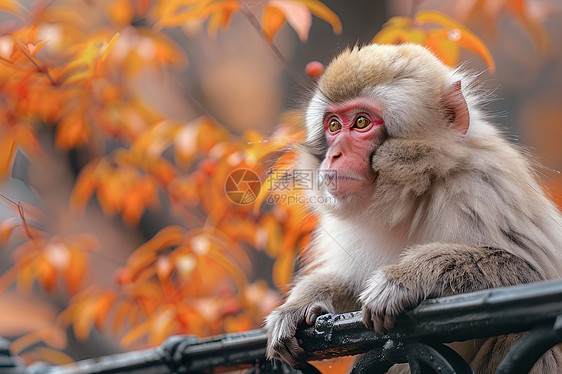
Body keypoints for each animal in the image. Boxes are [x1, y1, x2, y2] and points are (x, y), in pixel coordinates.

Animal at [264, 42, 560, 372]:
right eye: (333, 125)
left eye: (361, 122)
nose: (334, 155)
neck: (414, 193)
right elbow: (350, 287)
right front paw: (301, 304)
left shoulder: (484, 186)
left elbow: (532, 274)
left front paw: (406, 278)